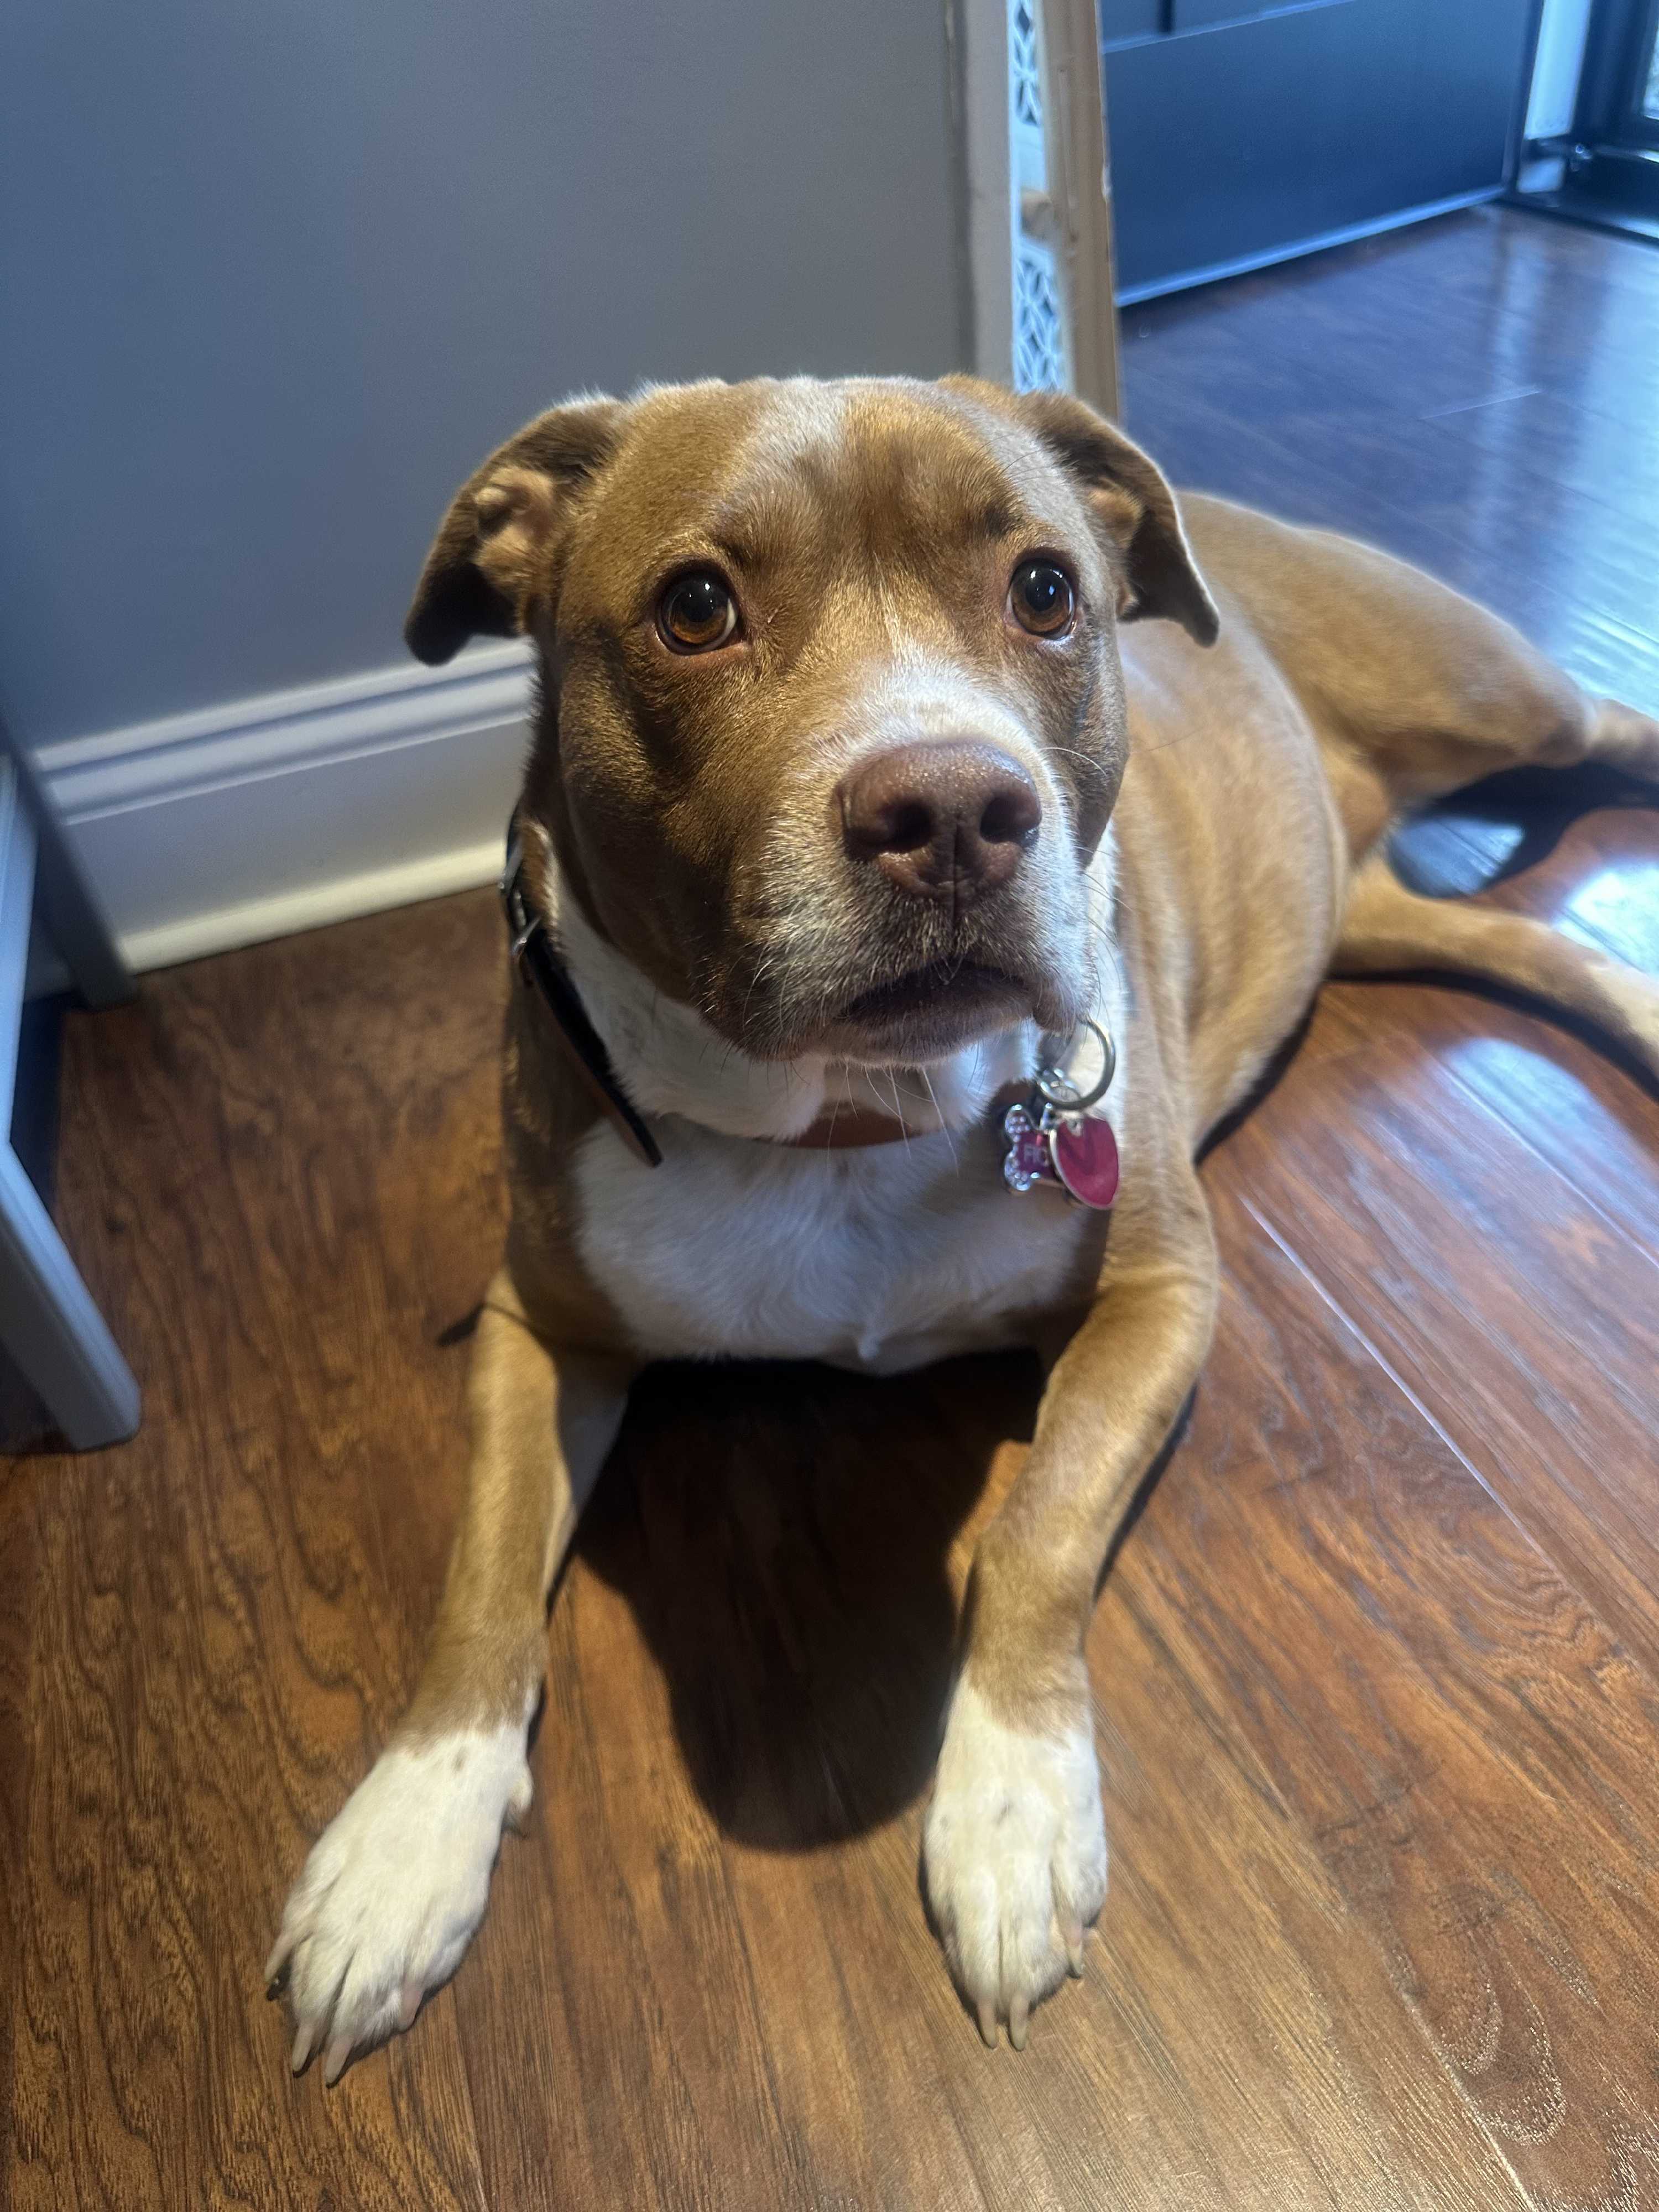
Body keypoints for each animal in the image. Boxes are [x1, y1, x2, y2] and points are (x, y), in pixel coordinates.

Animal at [267, 374, 1659, 2080]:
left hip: (1491, 695)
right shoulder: (541, 1326)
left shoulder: (1160, 1294)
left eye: (1045, 591)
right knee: (1538, 947)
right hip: (1371, 908)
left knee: (1607, 730)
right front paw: (403, 1845)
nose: (951, 809)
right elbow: (478, 1575)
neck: (847, 1119)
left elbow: (1035, 1527)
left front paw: (1011, 1807)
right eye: (694, 607)